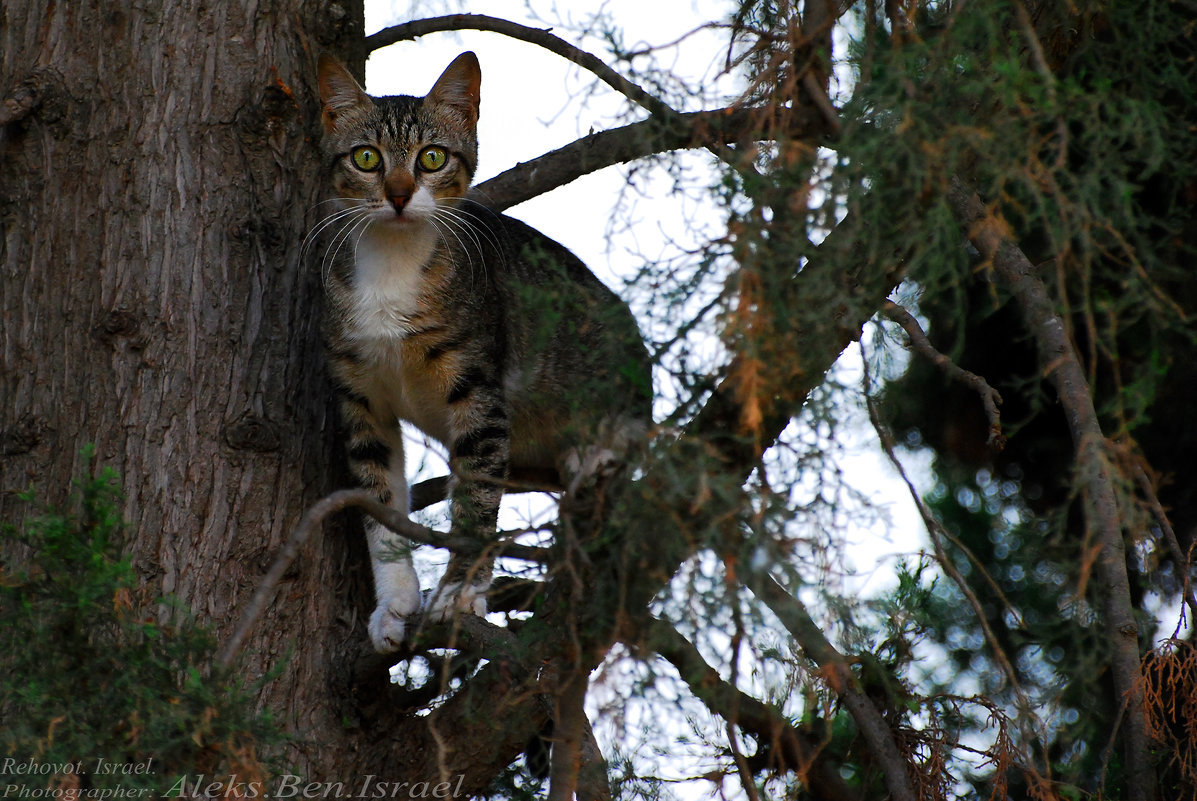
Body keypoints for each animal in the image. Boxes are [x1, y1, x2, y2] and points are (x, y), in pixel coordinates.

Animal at [313, 51, 651, 651]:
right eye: (366, 157)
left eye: (431, 157)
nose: (398, 194)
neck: (393, 263)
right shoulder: (358, 394)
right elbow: (380, 503)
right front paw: (394, 604)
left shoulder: (476, 386)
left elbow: (475, 496)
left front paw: (456, 594)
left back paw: (600, 449)